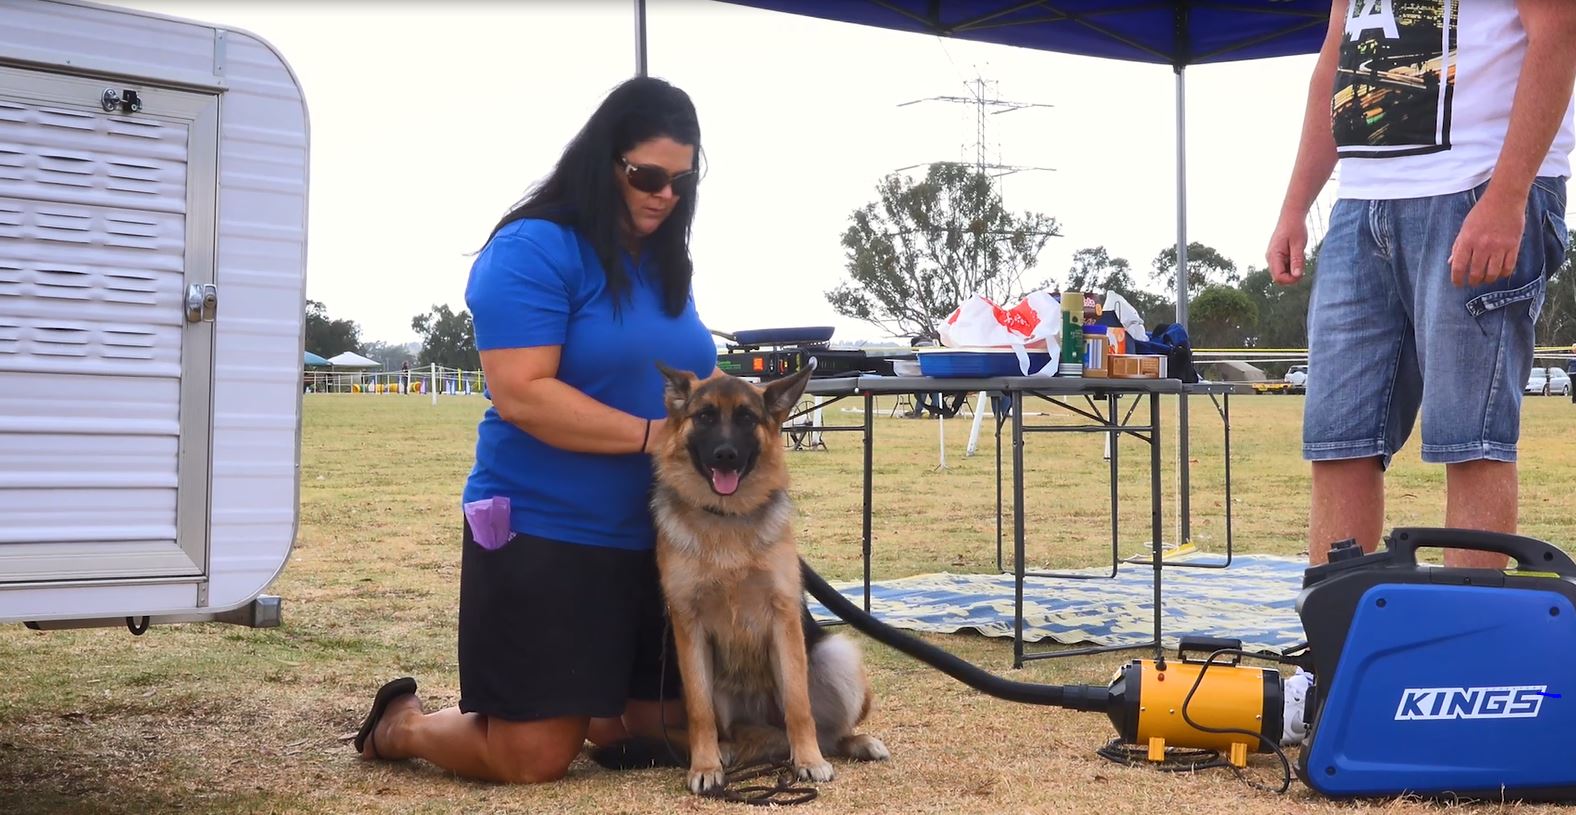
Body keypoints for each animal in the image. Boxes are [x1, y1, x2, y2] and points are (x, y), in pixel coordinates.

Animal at [639, 364, 888, 794]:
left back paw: (851, 743)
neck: (726, 518)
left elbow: (798, 706)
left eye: (746, 418)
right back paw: (727, 751)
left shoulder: (783, 618)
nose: (725, 454)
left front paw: (809, 761)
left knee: (825, 731)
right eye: (704, 416)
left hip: (837, 655)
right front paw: (704, 766)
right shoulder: (689, 627)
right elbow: (700, 712)